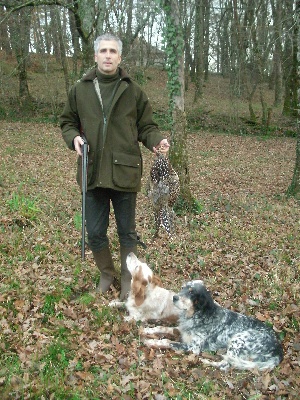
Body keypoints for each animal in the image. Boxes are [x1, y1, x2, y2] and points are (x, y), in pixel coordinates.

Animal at [144, 280, 284, 370]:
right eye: (183, 288)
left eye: (191, 293)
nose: (174, 297)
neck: (196, 315)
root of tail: (278, 349)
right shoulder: (182, 330)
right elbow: (163, 328)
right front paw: (147, 330)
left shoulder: (193, 347)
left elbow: (168, 342)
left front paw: (152, 342)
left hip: (238, 339)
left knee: (226, 365)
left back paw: (206, 361)